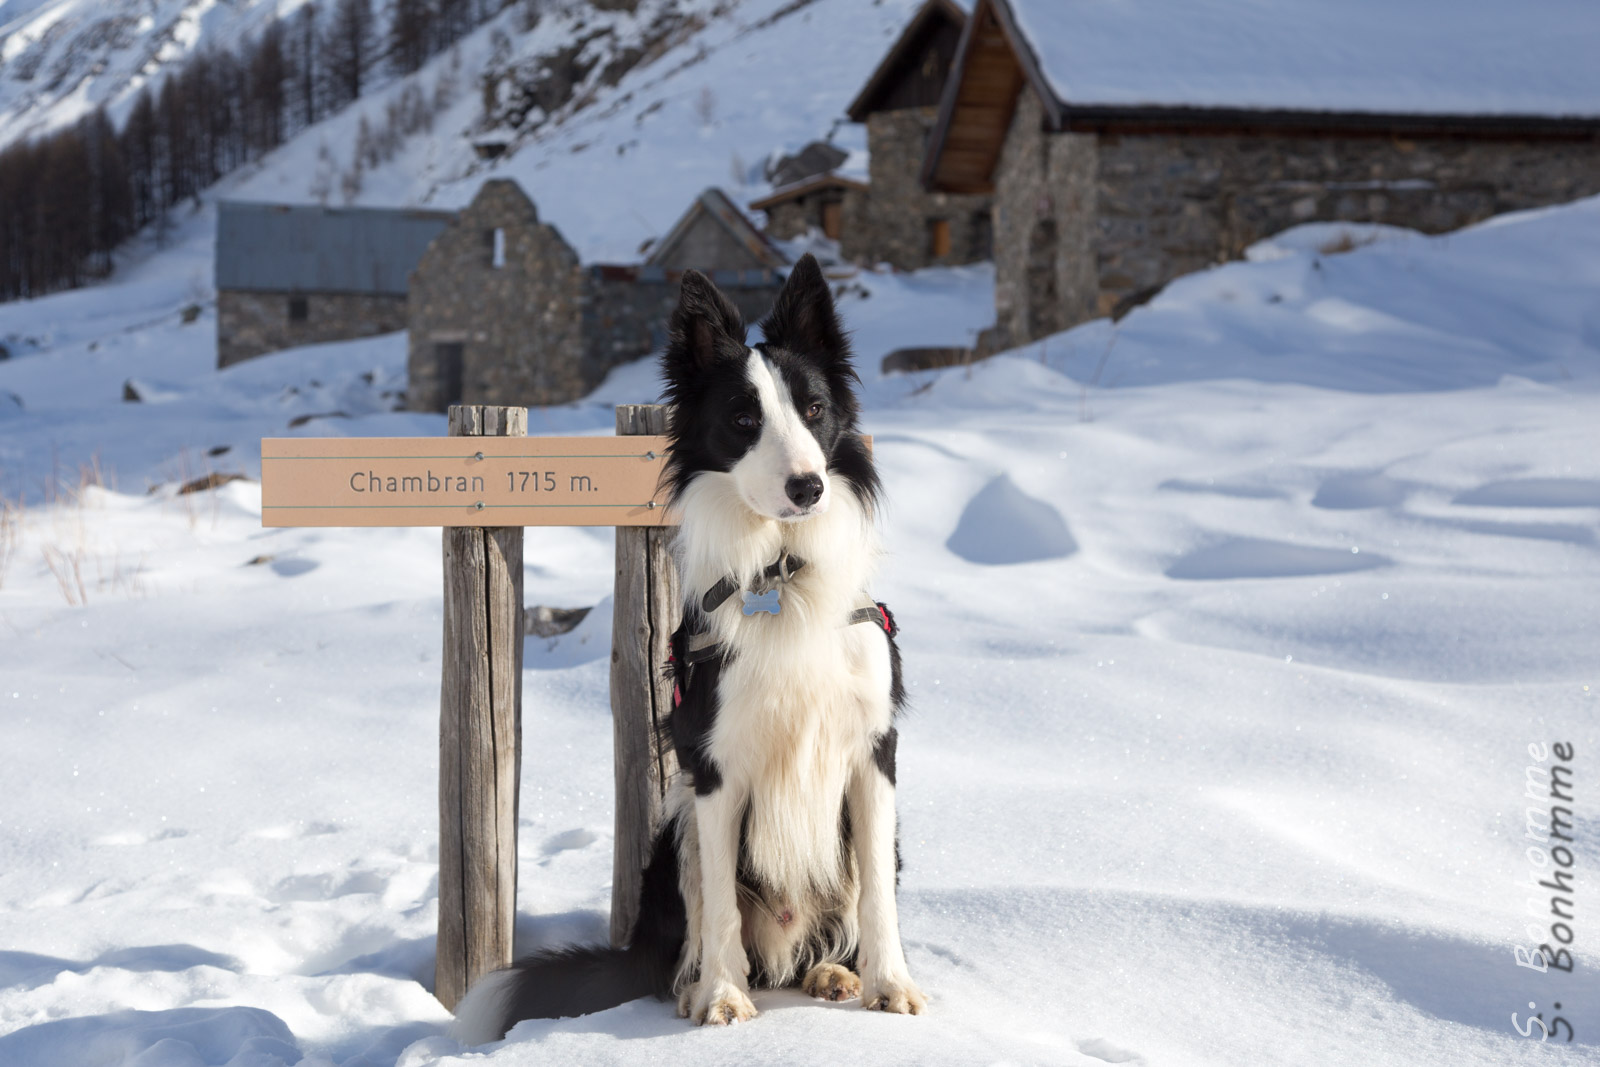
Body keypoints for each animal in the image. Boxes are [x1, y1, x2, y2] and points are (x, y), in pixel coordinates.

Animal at [451, 255, 928, 1043]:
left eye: (815, 410)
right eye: (743, 419)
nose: (808, 486)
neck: (782, 576)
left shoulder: (871, 754)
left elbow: (878, 903)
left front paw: (893, 986)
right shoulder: (714, 767)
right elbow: (722, 911)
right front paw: (722, 1000)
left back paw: (834, 971)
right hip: (674, 828)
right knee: (697, 934)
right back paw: (697, 987)